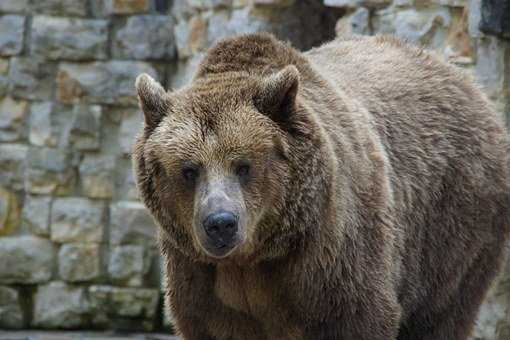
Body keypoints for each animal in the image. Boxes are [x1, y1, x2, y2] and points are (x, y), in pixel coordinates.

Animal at [130, 33, 510, 340]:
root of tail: (465, 81)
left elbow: (358, 317)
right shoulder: (201, 279)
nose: (221, 223)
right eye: (189, 170)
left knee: (442, 312)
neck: (257, 256)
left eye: (243, 165)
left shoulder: (331, 261)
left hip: (454, 226)